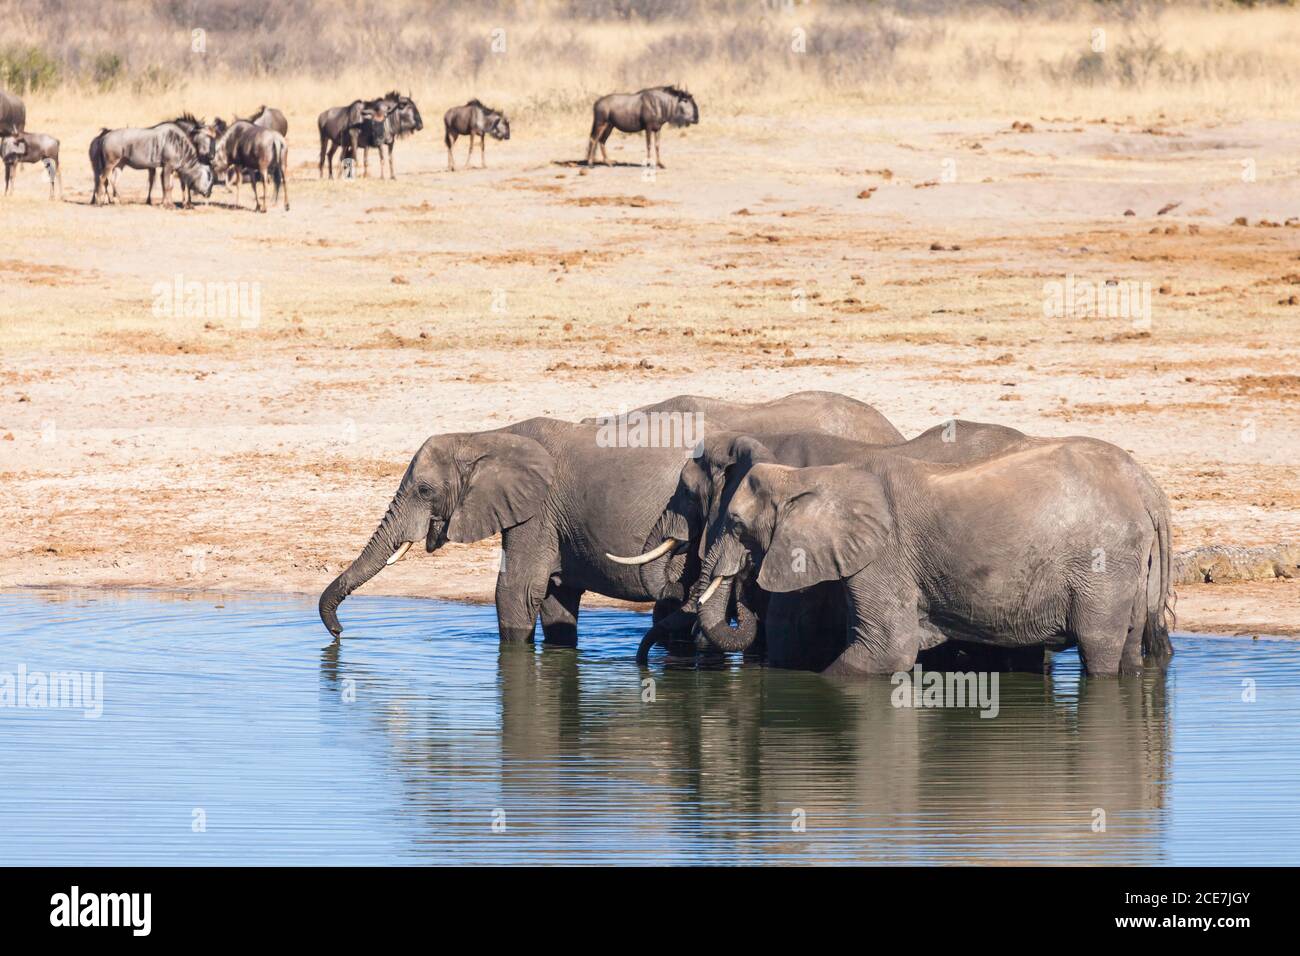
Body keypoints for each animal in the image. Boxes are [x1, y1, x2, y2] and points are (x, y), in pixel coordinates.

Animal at [317, 392, 904, 647]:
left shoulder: (537, 513)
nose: (340, 634)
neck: (491, 435)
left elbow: (517, 593)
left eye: (423, 489)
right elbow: (556, 600)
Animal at [696, 437, 1175, 676]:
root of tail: (1146, 486)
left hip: (1103, 562)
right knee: (1128, 644)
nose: (744, 591)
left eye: (735, 523)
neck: (818, 476)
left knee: (1099, 645)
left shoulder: (882, 555)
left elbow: (886, 652)